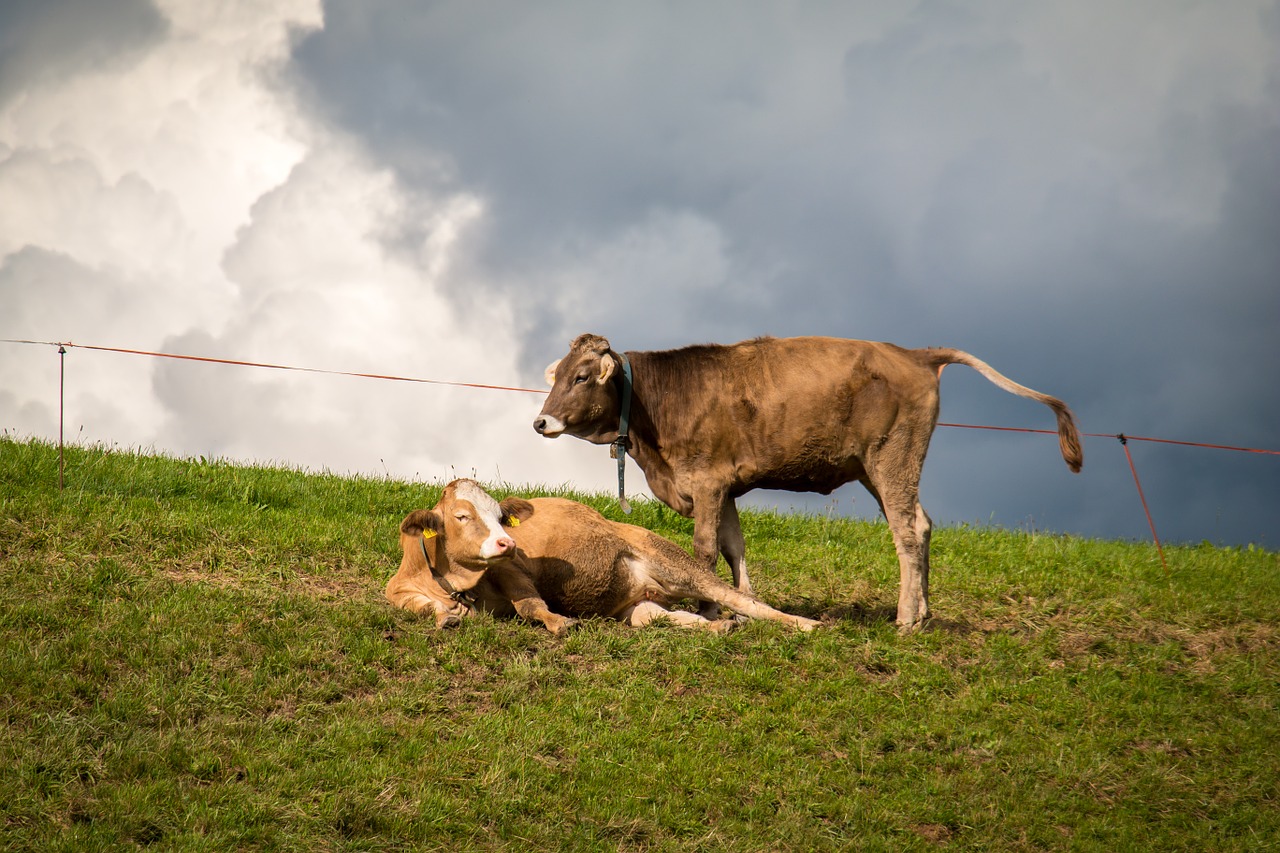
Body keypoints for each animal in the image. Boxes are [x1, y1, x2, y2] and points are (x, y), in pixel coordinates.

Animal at [384, 479, 814, 630]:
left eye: (501, 517)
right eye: (461, 515)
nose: (508, 543)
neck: (455, 581)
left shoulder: (513, 570)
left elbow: (530, 604)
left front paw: (559, 622)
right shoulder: (398, 589)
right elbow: (419, 606)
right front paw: (444, 617)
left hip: (677, 563)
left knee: (744, 600)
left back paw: (805, 624)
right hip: (634, 603)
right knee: (663, 618)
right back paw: (718, 627)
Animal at [529, 335, 1080, 627]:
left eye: (581, 377)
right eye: (557, 376)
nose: (540, 422)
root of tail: (914, 353)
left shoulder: (706, 480)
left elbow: (705, 550)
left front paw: (711, 609)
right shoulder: (726, 487)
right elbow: (734, 547)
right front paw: (745, 607)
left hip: (891, 458)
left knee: (907, 530)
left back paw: (905, 618)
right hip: (879, 468)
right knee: (922, 524)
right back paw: (923, 613)